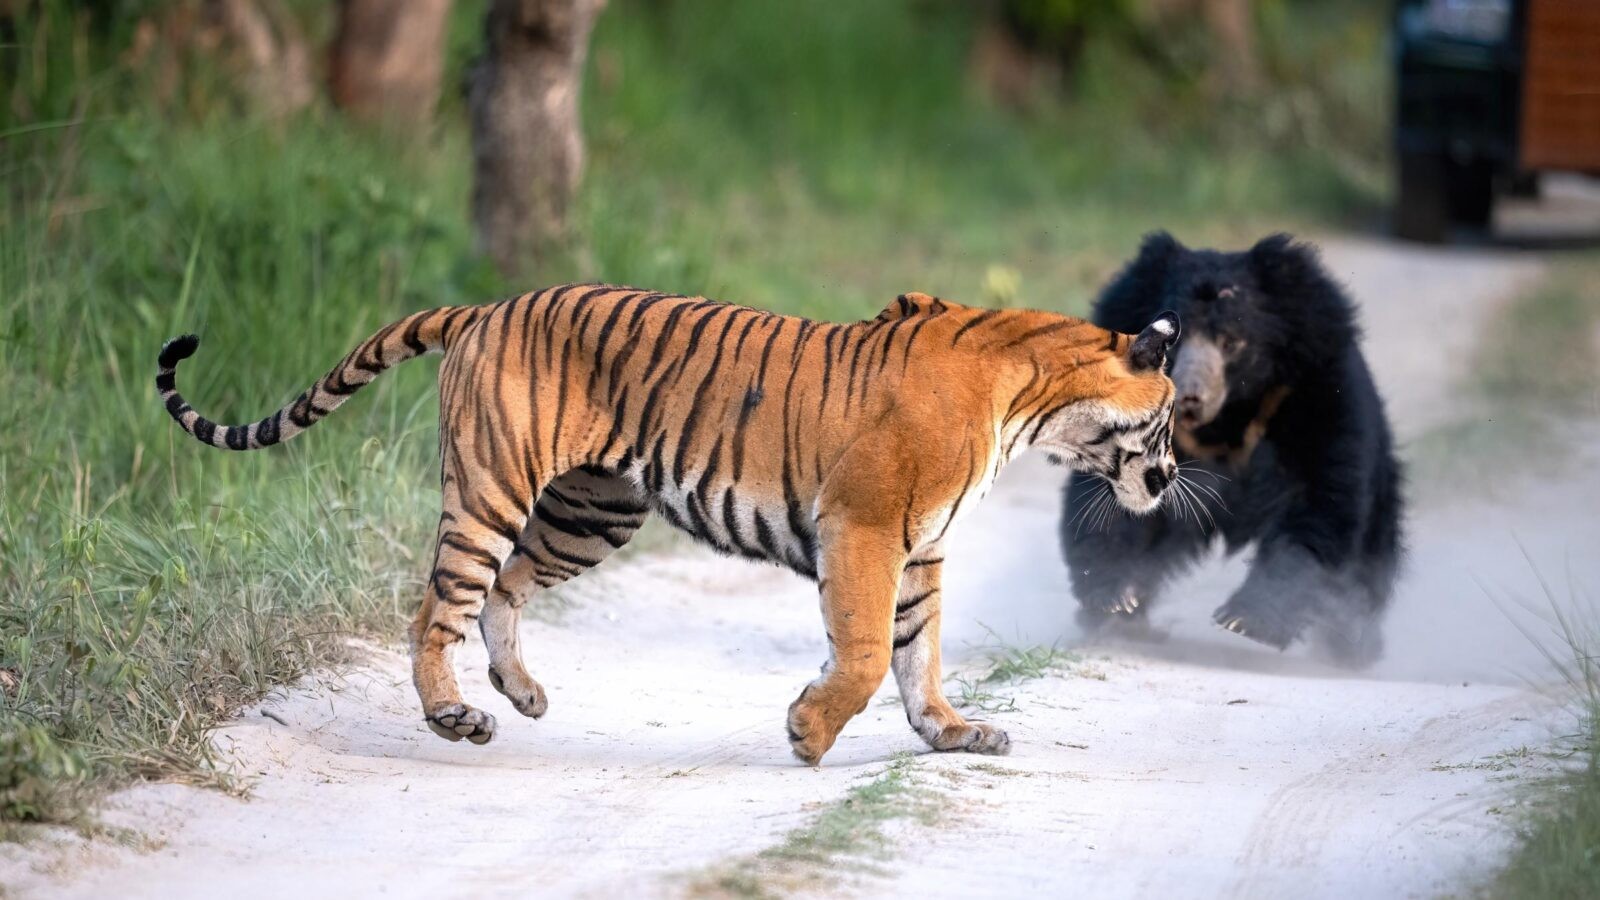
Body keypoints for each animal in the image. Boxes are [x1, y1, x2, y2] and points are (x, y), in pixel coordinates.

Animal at [156, 283, 1184, 759]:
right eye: (1172, 418)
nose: (1173, 478)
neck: (1036, 404)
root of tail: (486, 304)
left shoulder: (921, 548)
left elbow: (918, 652)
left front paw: (950, 733)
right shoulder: (865, 527)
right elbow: (862, 654)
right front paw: (809, 735)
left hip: (590, 512)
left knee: (505, 591)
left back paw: (520, 692)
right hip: (493, 491)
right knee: (435, 609)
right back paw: (454, 714)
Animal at [1062, 232, 1401, 666]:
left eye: (1231, 342)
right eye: (1173, 342)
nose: (1189, 398)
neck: (1227, 417)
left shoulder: (1314, 391)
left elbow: (1318, 495)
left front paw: (1245, 619)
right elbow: (1114, 496)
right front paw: (1115, 598)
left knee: (1368, 558)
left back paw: (1352, 645)